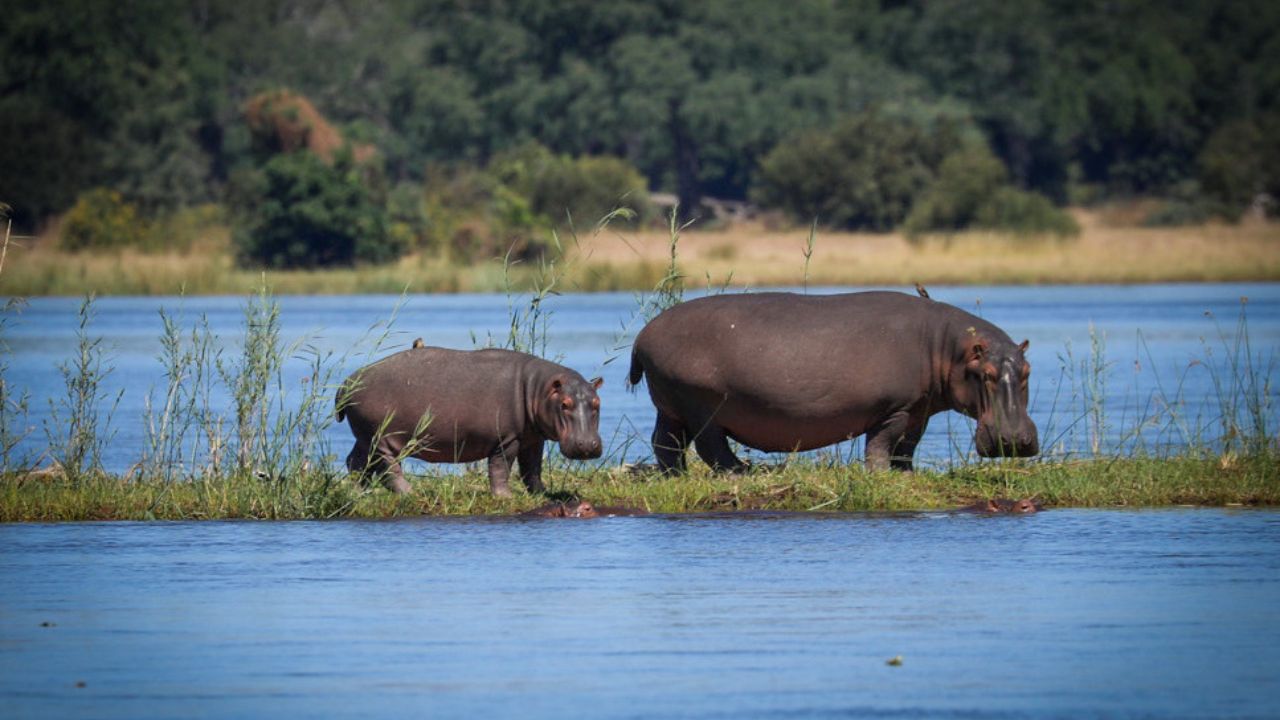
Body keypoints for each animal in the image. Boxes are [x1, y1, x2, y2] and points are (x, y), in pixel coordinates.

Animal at [337, 346, 603, 496]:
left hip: (365, 436)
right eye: (564, 404)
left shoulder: (532, 439)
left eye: (597, 403)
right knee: (387, 468)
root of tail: (347, 382)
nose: (588, 445)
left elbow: (532, 469)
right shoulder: (507, 439)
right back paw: (410, 493)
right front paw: (505, 497)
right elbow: (501, 468)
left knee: (355, 462)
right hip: (382, 438)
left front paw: (542, 493)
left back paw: (360, 493)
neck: (537, 389)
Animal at [627, 291, 1038, 473]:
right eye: (986, 375)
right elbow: (882, 444)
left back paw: (677, 475)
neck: (948, 348)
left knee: (666, 445)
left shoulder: (917, 409)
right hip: (704, 406)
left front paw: (906, 474)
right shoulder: (893, 410)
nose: (1015, 441)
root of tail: (643, 335)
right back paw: (746, 471)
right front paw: (881, 475)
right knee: (712, 448)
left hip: (672, 406)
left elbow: (908, 446)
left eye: (1028, 371)